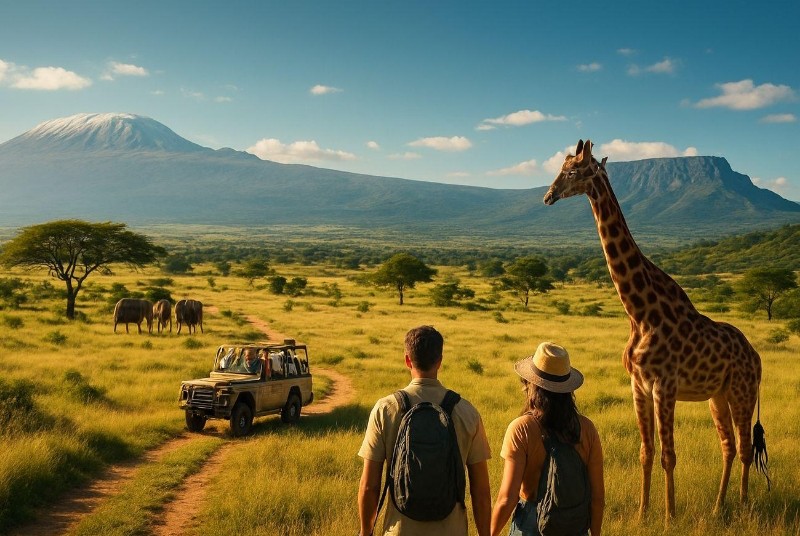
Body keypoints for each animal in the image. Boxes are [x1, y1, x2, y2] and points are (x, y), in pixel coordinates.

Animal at [543, 139, 769, 520]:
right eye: (561, 168)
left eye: (572, 171)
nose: (548, 196)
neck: (640, 313)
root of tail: (756, 356)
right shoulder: (638, 385)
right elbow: (646, 452)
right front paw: (641, 512)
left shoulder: (665, 385)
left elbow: (668, 455)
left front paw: (669, 515)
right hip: (718, 395)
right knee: (727, 445)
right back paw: (718, 507)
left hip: (743, 390)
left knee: (745, 446)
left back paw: (741, 504)